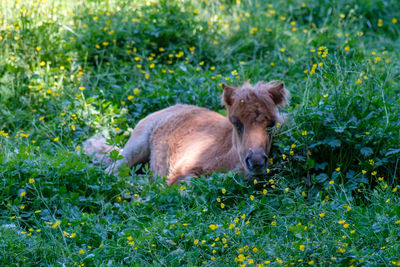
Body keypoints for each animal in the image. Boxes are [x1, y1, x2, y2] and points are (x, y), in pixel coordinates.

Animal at [83, 81, 288, 185]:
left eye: (272, 124)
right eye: (236, 123)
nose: (256, 162)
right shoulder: (180, 172)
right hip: (136, 146)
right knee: (113, 171)